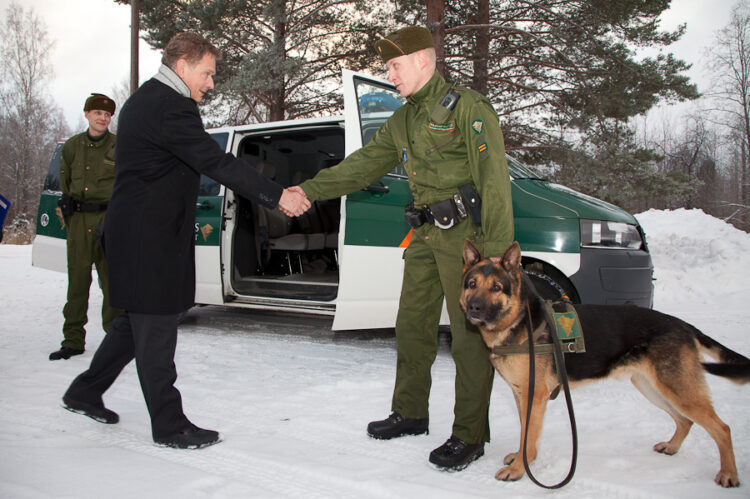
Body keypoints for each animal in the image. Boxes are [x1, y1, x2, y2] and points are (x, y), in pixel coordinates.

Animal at [462, 240, 748, 486]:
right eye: (472, 284)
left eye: (496, 287)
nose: (474, 308)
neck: (518, 321)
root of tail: (683, 325)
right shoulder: (522, 395)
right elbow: (525, 432)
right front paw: (520, 458)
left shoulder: (535, 396)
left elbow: (529, 435)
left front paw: (519, 470)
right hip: (652, 387)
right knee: (685, 421)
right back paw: (672, 447)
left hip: (678, 390)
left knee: (722, 428)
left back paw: (728, 474)